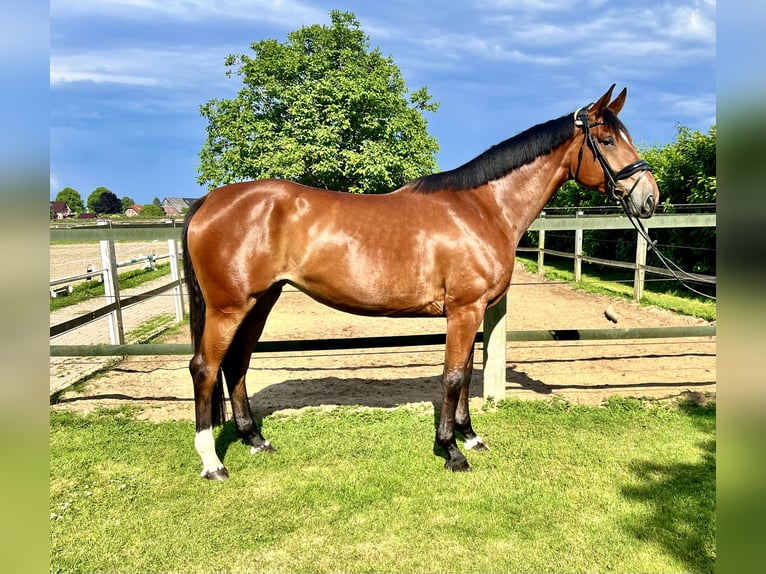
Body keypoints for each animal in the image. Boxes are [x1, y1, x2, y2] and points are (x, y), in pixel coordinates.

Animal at [182, 84, 660, 482]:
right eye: (609, 140)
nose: (649, 197)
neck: (482, 208)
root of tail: (209, 201)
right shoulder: (464, 309)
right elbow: (452, 376)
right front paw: (451, 451)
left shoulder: (474, 311)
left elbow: (467, 373)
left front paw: (470, 436)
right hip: (229, 307)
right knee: (205, 368)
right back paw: (212, 462)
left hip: (260, 301)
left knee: (236, 364)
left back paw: (255, 440)